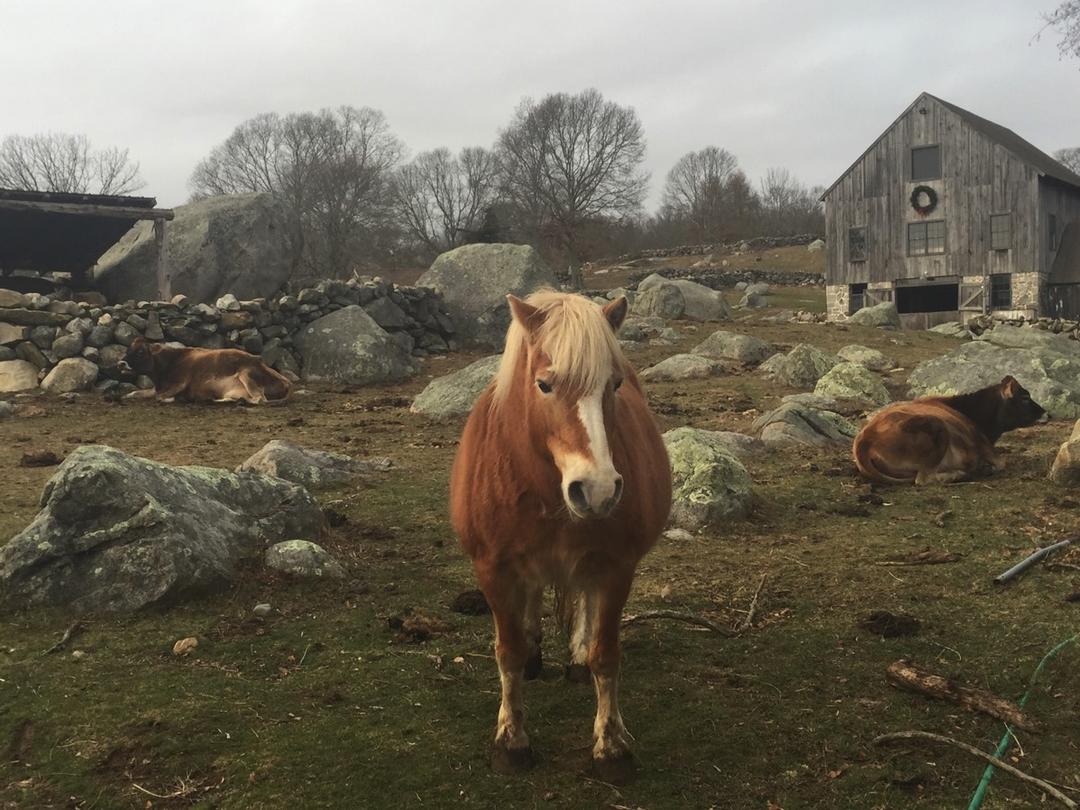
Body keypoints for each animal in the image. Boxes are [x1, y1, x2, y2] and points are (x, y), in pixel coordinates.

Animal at [119, 337, 291, 404]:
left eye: (140, 351)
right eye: (128, 349)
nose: (121, 363)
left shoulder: (180, 382)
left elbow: (160, 397)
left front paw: (174, 399)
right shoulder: (158, 387)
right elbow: (137, 392)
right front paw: (125, 396)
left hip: (246, 374)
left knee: (260, 399)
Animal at [449, 290, 671, 782]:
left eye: (613, 384)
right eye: (544, 384)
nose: (598, 488)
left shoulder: (616, 568)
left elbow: (606, 654)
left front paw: (611, 747)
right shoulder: (492, 569)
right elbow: (508, 652)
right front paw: (511, 742)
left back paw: (575, 661)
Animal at [852, 376, 1046, 485]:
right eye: (1025, 397)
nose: (1045, 412)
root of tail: (864, 442)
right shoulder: (984, 446)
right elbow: (1001, 463)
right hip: (937, 427)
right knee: (923, 479)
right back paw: (959, 475)